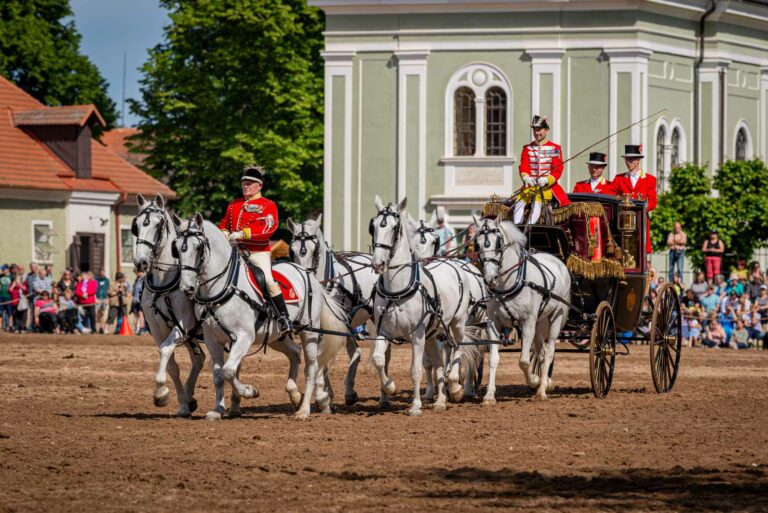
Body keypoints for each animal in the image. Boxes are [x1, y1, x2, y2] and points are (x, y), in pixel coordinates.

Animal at [132, 194, 206, 418]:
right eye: (136, 225)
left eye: (159, 224)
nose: (140, 262)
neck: (163, 283)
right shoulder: (157, 328)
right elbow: (172, 365)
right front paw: (181, 404)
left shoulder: (184, 323)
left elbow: (165, 351)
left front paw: (161, 391)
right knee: (199, 359)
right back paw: (190, 397)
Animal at [174, 214, 348, 418]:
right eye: (176, 247)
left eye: (198, 247)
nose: (187, 287)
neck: (223, 287)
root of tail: (308, 274)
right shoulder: (212, 339)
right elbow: (218, 375)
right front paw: (217, 410)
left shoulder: (244, 337)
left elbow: (228, 371)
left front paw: (250, 391)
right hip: (276, 337)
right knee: (295, 353)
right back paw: (295, 395)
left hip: (309, 333)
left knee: (311, 368)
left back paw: (304, 409)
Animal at [286, 214, 376, 406]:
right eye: (292, 250)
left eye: (315, 251)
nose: (304, 276)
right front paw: (326, 394)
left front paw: (322, 395)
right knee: (355, 353)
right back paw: (349, 392)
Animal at [368, 197, 472, 416]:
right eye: (373, 226)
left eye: (395, 227)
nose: (378, 262)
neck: (397, 290)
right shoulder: (384, 331)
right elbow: (378, 359)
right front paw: (390, 387)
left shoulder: (417, 335)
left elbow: (415, 370)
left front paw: (415, 406)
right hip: (432, 333)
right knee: (440, 363)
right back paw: (441, 400)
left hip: (457, 323)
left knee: (458, 347)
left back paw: (455, 386)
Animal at [472, 216, 572, 400]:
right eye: (477, 244)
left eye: (498, 243)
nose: (490, 279)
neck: (509, 284)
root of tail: (558, 261)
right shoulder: (493, 323)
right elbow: (493, 359)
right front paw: (489, 395)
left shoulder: (528, 323)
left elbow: (524, 361)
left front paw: (534, 381)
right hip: (540, 321)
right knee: (540, 351)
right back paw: (546, 382)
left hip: (556, 315)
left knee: (549, 350)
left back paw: (541, 390)